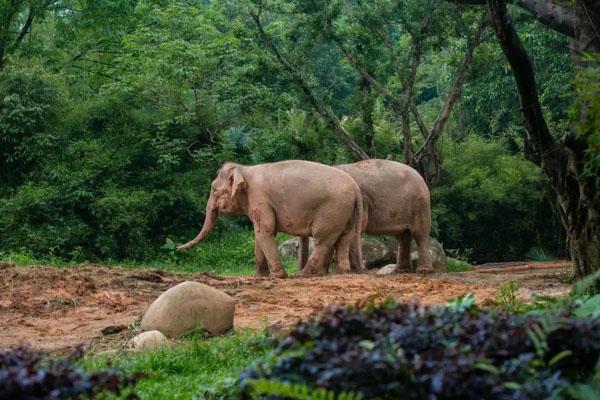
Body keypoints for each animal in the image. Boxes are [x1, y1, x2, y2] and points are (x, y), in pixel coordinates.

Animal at [176, 159, 364, 278]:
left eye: (214, 189)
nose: (177, 248)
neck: (244, 169)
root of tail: (356, 188)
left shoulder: (259, 198)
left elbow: (265, 231)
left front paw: (278, 276)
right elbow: (259, 234)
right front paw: (259, 276)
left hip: (332, 210)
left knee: (322, 240)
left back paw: (303, 274)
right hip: (346, 212)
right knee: (344, 238)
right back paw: (341, 272)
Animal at [300, 158, 432, 274]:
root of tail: (420, 177)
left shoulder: (362, 200)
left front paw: (355, 270)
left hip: (420, 205)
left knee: (419, 234)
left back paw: (423, 271)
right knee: (403, 236)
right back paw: (401, 271)